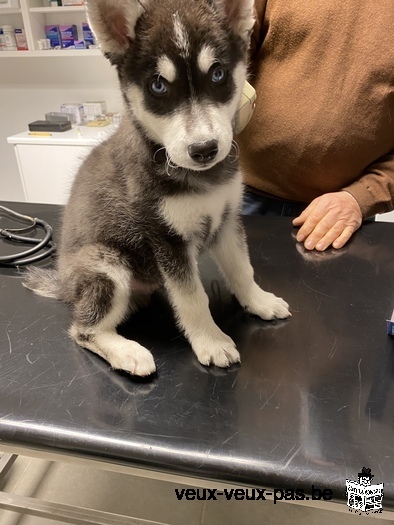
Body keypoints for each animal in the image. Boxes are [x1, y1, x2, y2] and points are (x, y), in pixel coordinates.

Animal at [23, 0, 290, 376]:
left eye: (218, 74)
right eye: (158, 86)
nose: (204, 149)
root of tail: (64, 284)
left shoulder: (226, 220)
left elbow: (242, 268)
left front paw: (258, 301)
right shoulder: (166, 238)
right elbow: (193, 298)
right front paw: (211, 341)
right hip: (107, 265)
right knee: (82, 330)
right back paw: (128, 353)